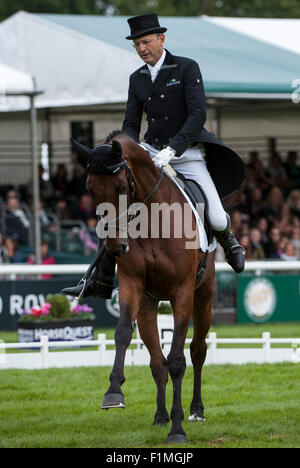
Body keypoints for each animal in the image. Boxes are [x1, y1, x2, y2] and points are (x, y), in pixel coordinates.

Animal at [77, 133, 214, 442]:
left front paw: (178, 429)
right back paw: (161, 416)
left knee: (197, 351)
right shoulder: (133, 285)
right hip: (149, 304)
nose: (115, 246)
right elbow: (122, 334)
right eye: (90, 188)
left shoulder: (182, 293)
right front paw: (113, 393)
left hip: (203, 297)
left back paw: (196, 410)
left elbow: (177, 361)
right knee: (156, 362)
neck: (154, 220)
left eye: (120, 187)